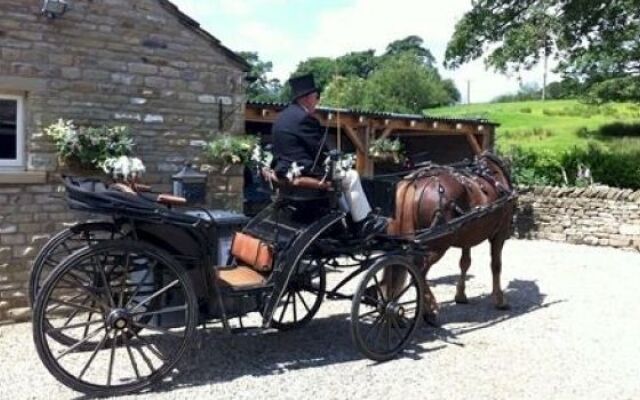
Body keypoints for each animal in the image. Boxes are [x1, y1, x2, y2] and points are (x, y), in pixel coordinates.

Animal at [384, 151, 516, 322]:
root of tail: (414, 182)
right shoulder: (499, 234)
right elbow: (496, 265)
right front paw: (500, 300)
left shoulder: (468, 236)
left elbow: (465, 263)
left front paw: (460, 295)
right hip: (437, 246)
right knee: (419, 272)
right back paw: (429, 310)